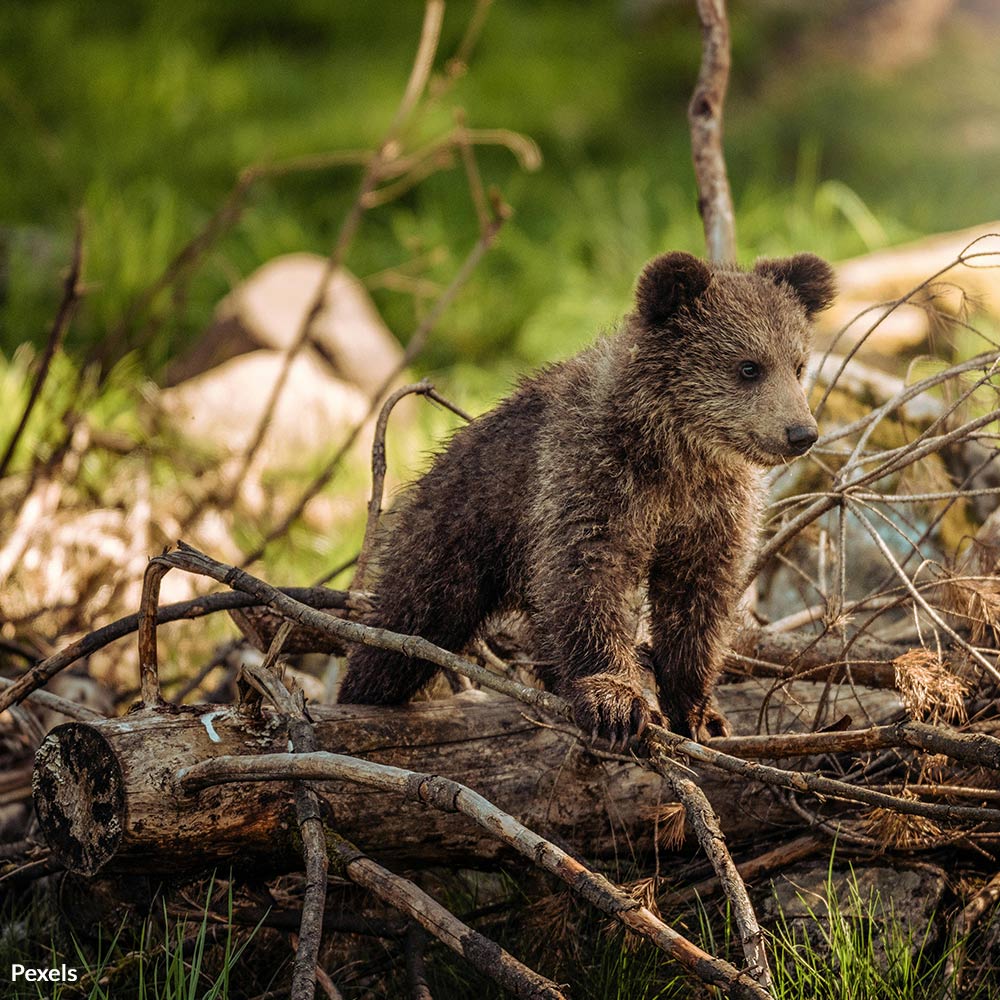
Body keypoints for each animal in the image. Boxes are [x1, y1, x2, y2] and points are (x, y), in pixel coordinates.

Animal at [338, 254, 836, 748]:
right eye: (749, 366)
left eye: (798, 364)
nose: (801, 433)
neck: (675, 454)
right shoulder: (592, 478)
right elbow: (587, 578)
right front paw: (615, 702)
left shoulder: (711, 509)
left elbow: (698, 598)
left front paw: (699, 712)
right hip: (458, 529)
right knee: (408, 620)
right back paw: (362, 692)